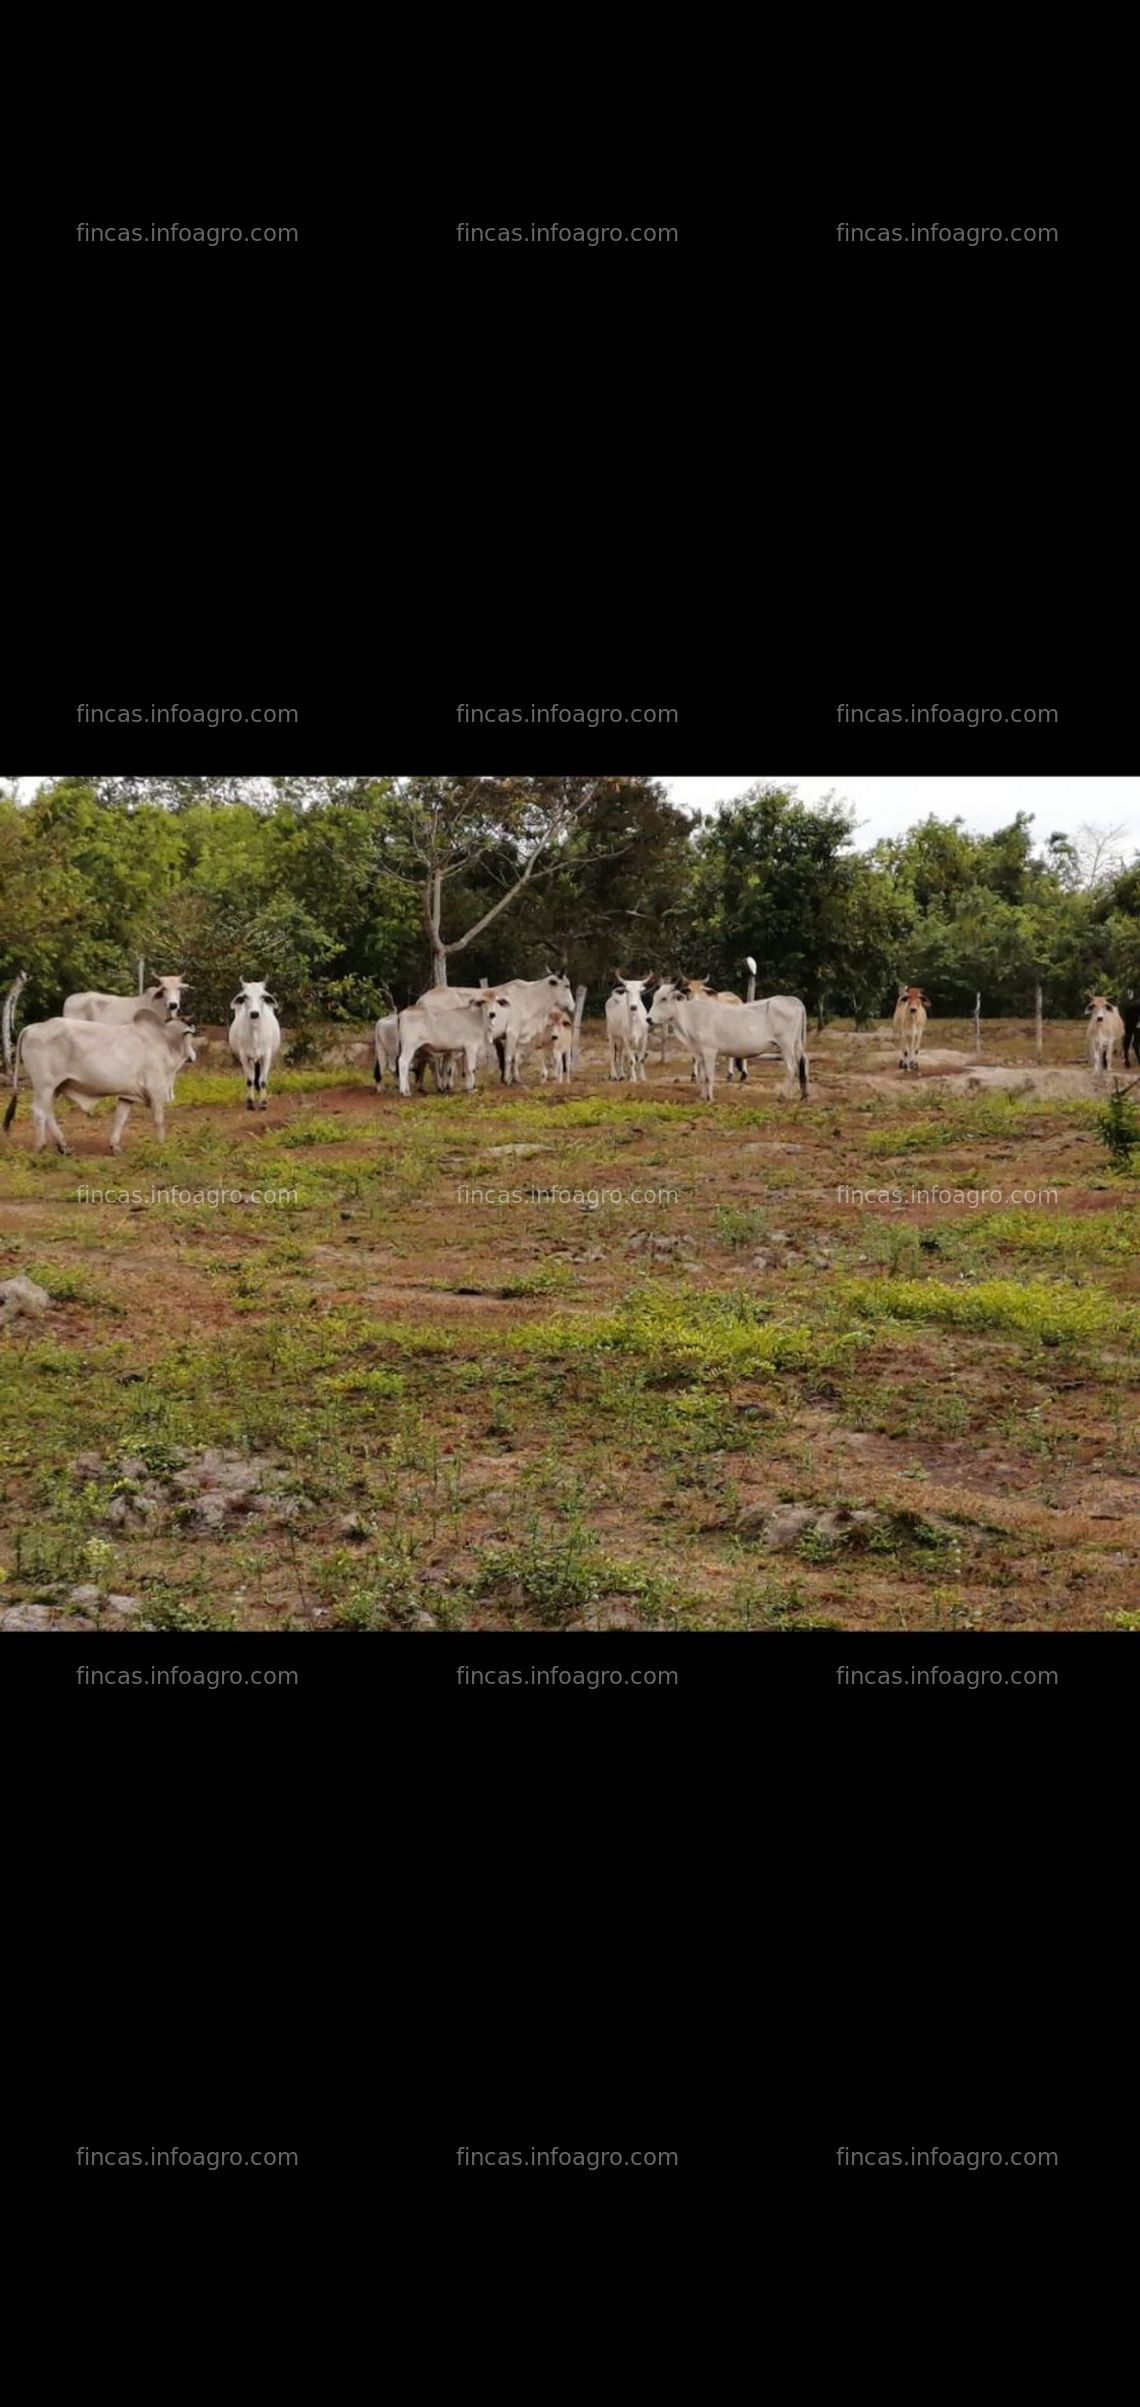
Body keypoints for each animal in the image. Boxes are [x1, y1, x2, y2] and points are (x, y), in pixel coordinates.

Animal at [4, 1010, 198, 1150]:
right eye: (190, 1034)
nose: (193, 1057)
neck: (164, 1041)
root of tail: (33, 1028)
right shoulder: (156, 1090)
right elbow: (159, 1119)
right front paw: (161, 1145)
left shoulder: (128, 1094)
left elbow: (120, 1118)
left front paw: (115, 1146)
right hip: (44, 1085)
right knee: (38, 1111)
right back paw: (40, 1146)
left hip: (54, 1087)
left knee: (48, 1112)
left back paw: (63, 1146)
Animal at [227, 977, 280, 1107]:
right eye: (245, 996)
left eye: (262, 996)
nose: (254, 1013)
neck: (255, 1032)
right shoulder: (244, 1056)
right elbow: (249, 1080)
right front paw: (250, 1102)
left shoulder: (266, 1055)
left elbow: (263, 1080)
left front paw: (263, 1102)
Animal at [418, 977, 574, 1092]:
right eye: (566, 985)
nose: (572, 1006)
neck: (528, 997)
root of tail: (422, 998)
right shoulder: (512, 1032)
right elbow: (509, 1058)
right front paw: (508, 1080)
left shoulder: (509, 1036)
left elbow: (512, 1058)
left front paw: (513, 1078)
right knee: (433, 1061)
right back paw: (440, 1086)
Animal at [639, 977, 808, 1102]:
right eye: (654, 997)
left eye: (664, 999)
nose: (648, 1019)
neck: (691, 1015)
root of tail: (792, 1000)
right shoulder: (700, 1053)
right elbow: (702, 1077)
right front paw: (702, 1097)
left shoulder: (709, 1051)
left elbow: (709, 1076)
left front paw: (709, 1098)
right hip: (797, 1043)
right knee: (803, 1062)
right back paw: (804, 1095)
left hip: (785, 1044)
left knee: (791, 1067)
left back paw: (784, 1095)